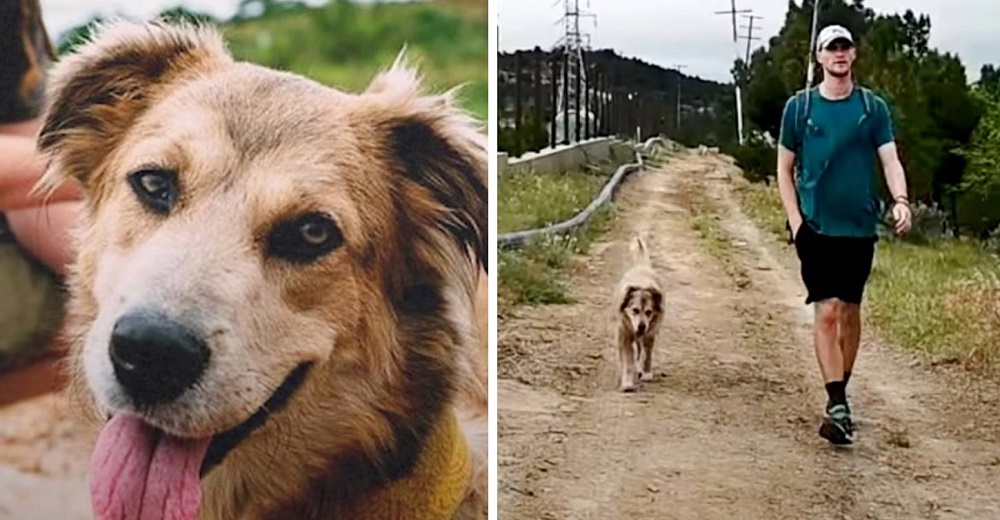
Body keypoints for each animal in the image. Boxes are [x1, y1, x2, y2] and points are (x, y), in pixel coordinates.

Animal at [608, 235, 664, 390]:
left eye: (649, 312)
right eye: (635, 310)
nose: (641, 326)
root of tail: (640, 266)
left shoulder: (650, 334)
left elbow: (647, 355)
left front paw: (646, 373)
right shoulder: (624, 336)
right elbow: (628, 360)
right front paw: (627, 383)